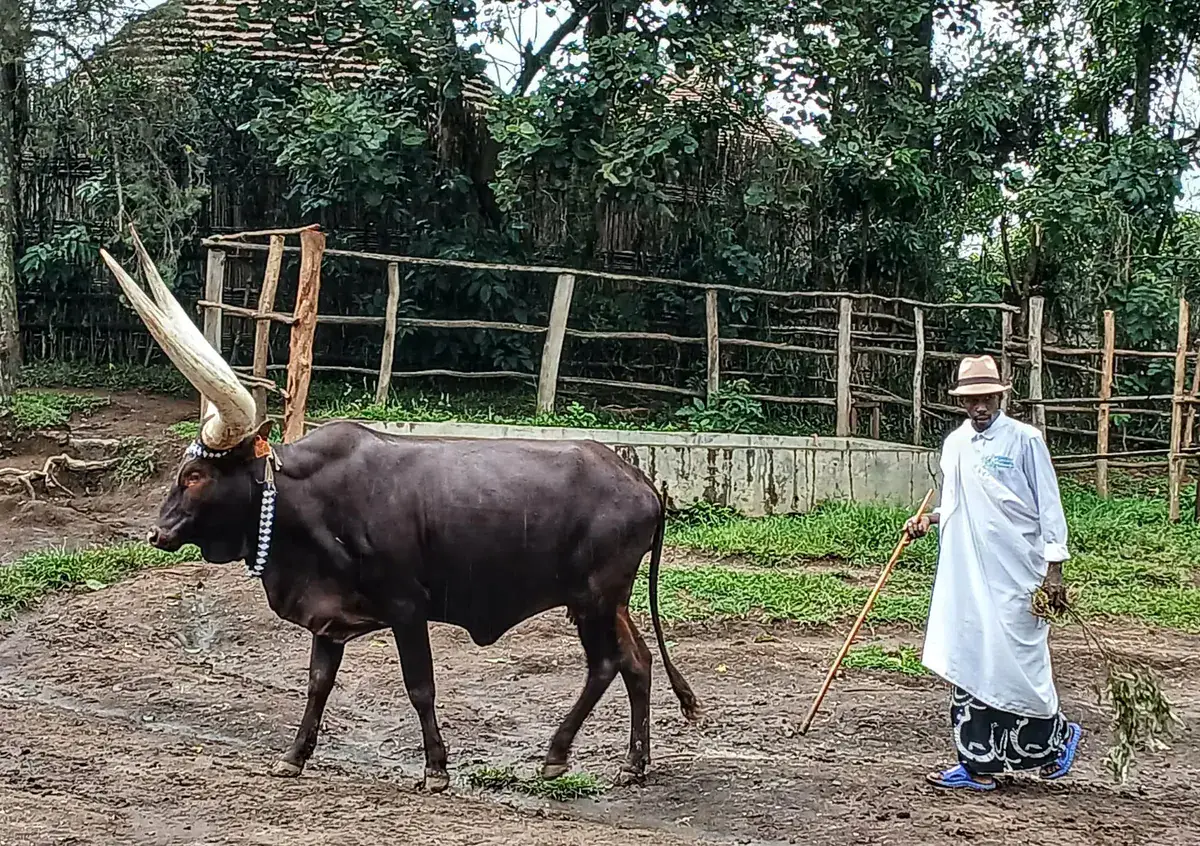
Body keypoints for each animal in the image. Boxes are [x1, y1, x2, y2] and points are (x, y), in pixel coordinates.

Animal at [99, 229, 699, 792]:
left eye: (196, 475)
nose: (157, 534)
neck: (305, 503)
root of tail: (643, 482)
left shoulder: (408, 607)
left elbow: (419, 685)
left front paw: (435, 768)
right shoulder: (329, 618)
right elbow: (317, 683)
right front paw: (294, 756)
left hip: (595, 597)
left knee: (613, 663)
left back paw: (576, 756)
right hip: (602, 600)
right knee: (631, 662)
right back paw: (614, 761)